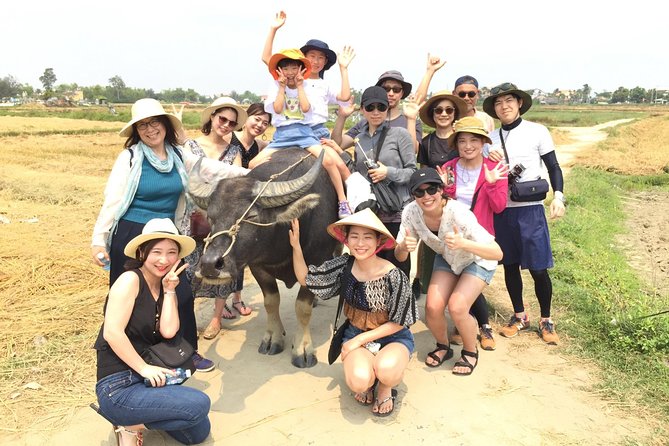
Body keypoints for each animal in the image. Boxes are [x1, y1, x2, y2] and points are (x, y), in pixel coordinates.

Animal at [188, 148, 336, 368]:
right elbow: (271, 302)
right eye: (210, 217)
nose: (209, 265)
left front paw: (302, 349)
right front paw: (273, 338)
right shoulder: (257, 266)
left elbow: (302, 307)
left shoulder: (316, 261)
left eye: (251, 217)